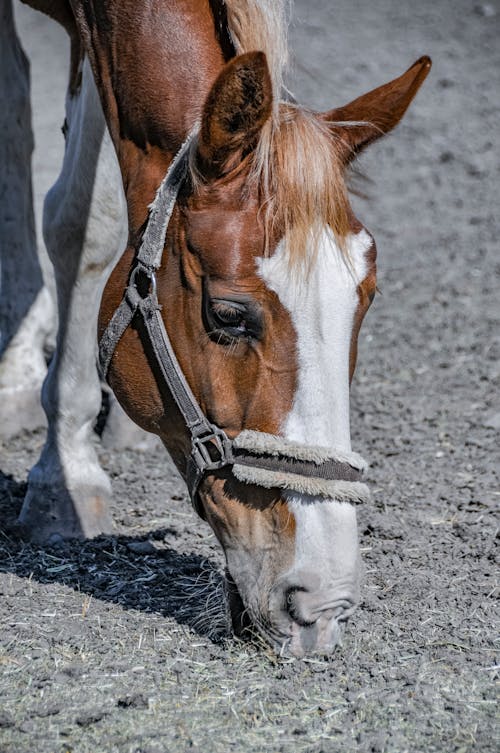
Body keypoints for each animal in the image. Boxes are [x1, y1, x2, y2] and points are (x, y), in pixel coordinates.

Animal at [0, 0, 430, 656]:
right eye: (228, 315)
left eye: (367, 299)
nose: (321, 601)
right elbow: (76, 220)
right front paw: (64, 479)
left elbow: (93, 215)